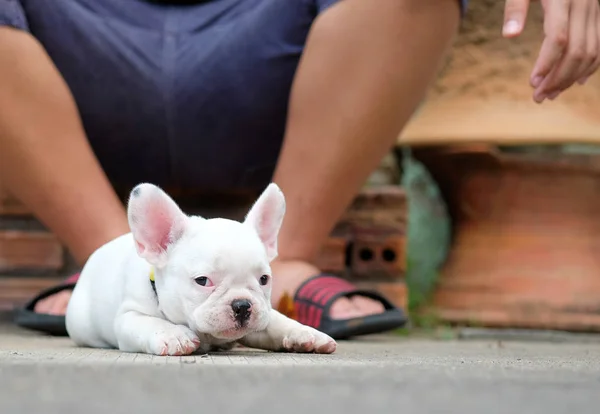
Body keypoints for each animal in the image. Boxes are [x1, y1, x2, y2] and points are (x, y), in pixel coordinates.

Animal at [67, 184, 338, 356]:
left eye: (264, 279)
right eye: (202, 281)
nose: (242, 305)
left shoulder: (263, 316)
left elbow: (276, 322)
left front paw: (305, 333)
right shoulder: (128, 316)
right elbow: (149, 322)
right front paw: (174, 335)